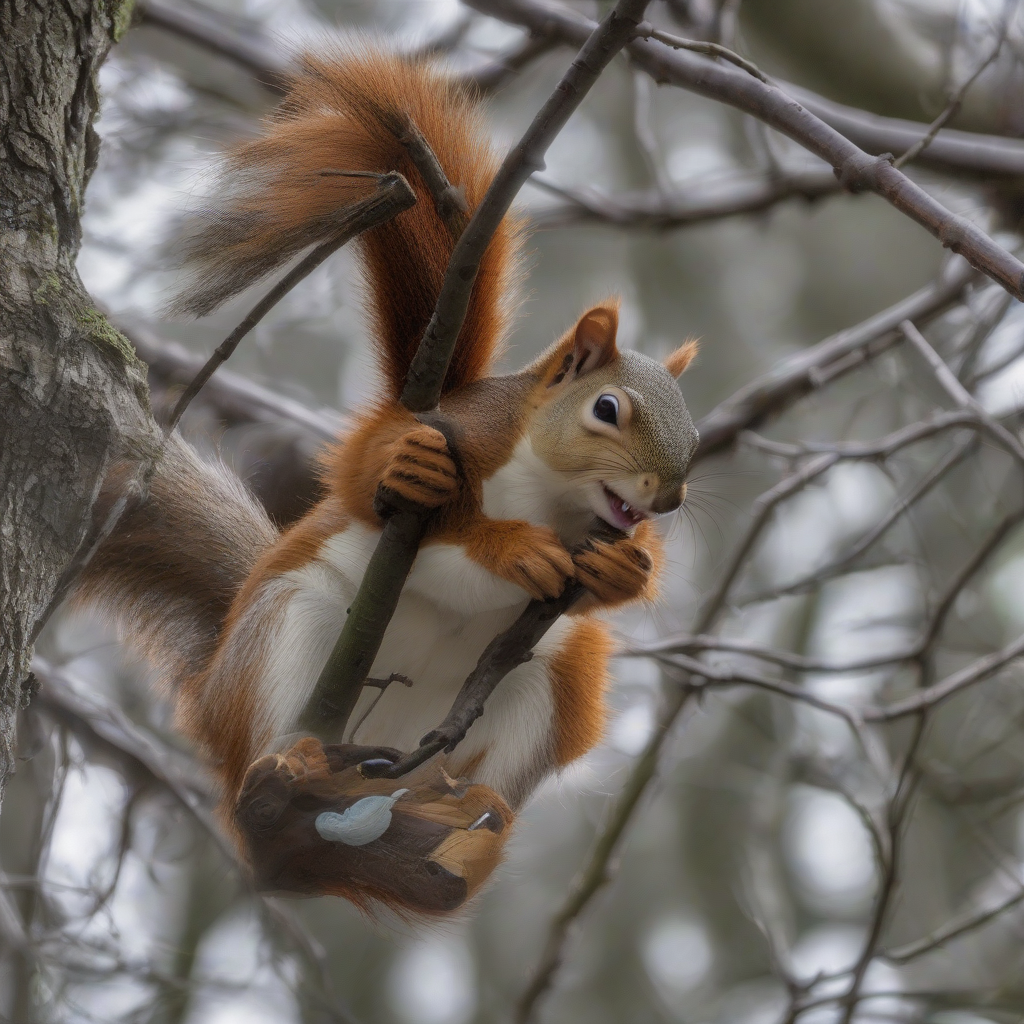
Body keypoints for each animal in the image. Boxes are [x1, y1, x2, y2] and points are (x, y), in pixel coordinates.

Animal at [72, 44, 696, 917]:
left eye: (695, 435)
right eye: (607, 409)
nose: (665, 499)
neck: (548, 496)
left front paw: (623, 569)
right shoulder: (452, 436)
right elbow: (390, 493)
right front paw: (502, 542)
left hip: (546, 688)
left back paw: (450, 835)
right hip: (287, 628)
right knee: (263, 795)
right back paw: (285, 782)